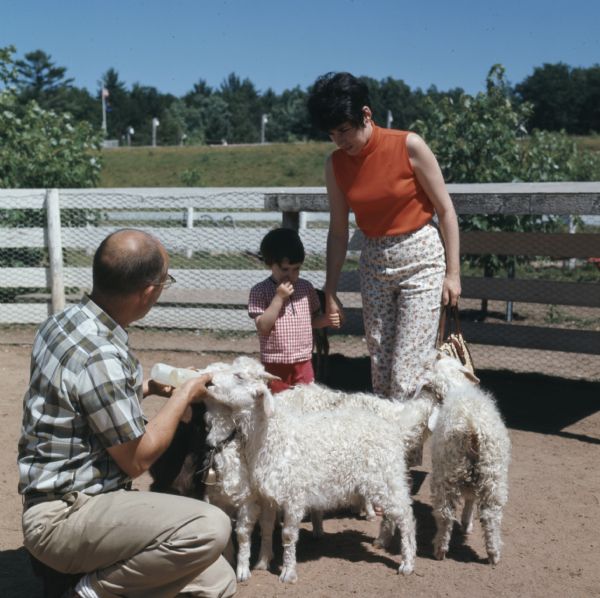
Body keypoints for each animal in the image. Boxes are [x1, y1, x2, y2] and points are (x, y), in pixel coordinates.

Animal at [202, 358, 418, 584]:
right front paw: (262, 561)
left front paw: (288, 573)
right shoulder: (268, 494)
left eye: (239, 376)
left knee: (406, 516)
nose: (209, 383)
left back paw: (407, 563)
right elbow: (267, 526)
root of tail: (394, 429)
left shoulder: (294, 496)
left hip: (386, 476)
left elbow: (288, 535)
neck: (271, 436)